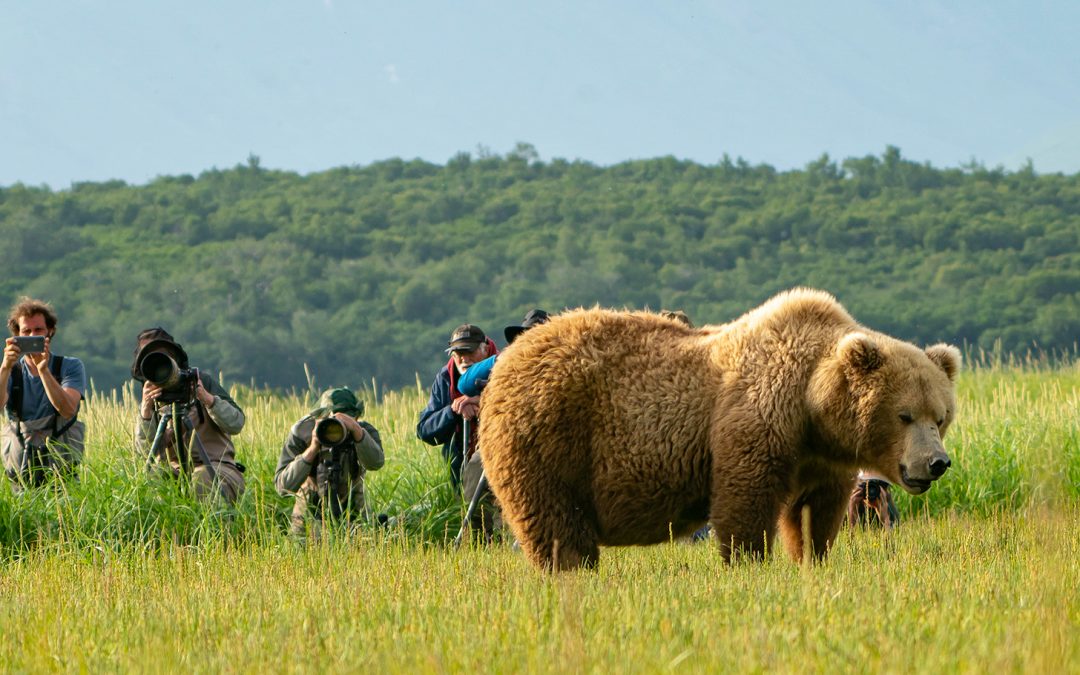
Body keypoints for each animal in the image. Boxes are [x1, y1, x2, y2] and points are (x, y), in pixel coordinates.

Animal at [478, 288, 960, 571]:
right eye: (904, 415)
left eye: (940, 416)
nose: (937, 462)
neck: (809, 404)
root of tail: (511, 358)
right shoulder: (755, 419)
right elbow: (745, 502)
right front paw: (747, 563)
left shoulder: (820, 457)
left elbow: (815, 513)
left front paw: (810, 557)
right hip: (550, 435)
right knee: (557, 522)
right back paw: (571, 567)